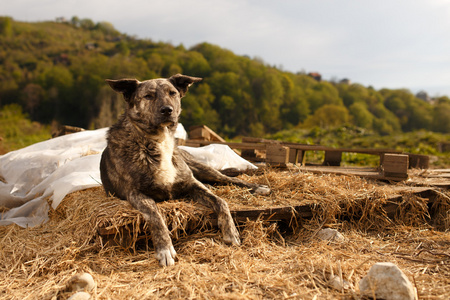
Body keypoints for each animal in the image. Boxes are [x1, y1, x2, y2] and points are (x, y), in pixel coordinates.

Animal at [100, 75, 268, 268]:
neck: (158, 140)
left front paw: (231, 231)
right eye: (148, 96)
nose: (167, 110)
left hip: (203, 170)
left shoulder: (192, 183)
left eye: (172, 93)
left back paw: (258, 187)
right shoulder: (136, 194)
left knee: (229, 179)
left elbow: (221, 201)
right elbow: (155, 216)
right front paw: (165, 249)